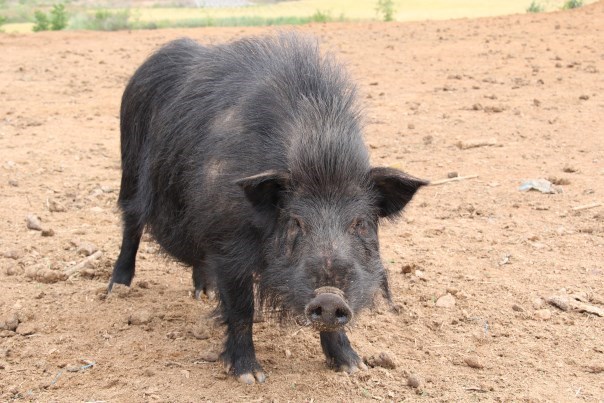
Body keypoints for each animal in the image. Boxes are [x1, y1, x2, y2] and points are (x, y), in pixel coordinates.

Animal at [109, 34, 430, 386]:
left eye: (360, 223)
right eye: (296, 222)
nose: (329, 297)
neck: (320, 155)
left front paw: (354, 366)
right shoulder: (228, 240)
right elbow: (241, 308)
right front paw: (250, 376)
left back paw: (203, 293)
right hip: (130, 164)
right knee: (131, 222)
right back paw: (116, 289)